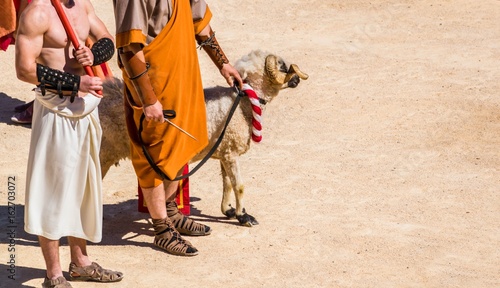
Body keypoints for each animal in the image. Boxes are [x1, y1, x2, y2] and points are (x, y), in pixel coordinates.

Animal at [98, 50, 308, 227]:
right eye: (282, 66)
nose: (298, 79)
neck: (243, 102)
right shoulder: (232, 154)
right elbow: (239, 186)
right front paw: (244, 217)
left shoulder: (224, 152)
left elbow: (227, 184)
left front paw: (228, 210)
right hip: (103, 155)